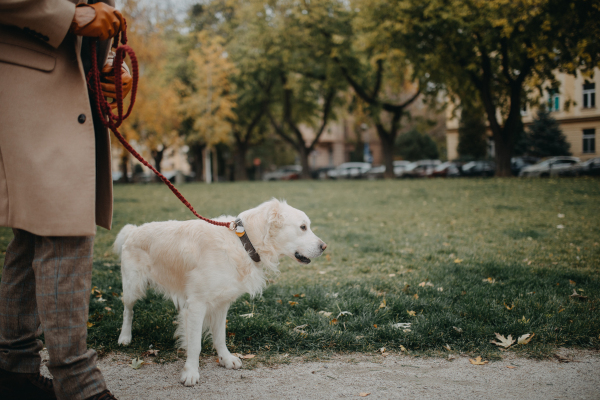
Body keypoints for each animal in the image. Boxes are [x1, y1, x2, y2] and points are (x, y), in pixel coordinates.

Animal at [114, 198, 326, 386]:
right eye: (303, 227)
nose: (324, 247)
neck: (243, 242)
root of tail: (133, 229)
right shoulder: (197, 304)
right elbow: (195, 344)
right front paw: (191, 372)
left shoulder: (221, 303)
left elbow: (219, 336)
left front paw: (225, 358)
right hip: (133, 286)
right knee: (128, 310)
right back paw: (125, 337)